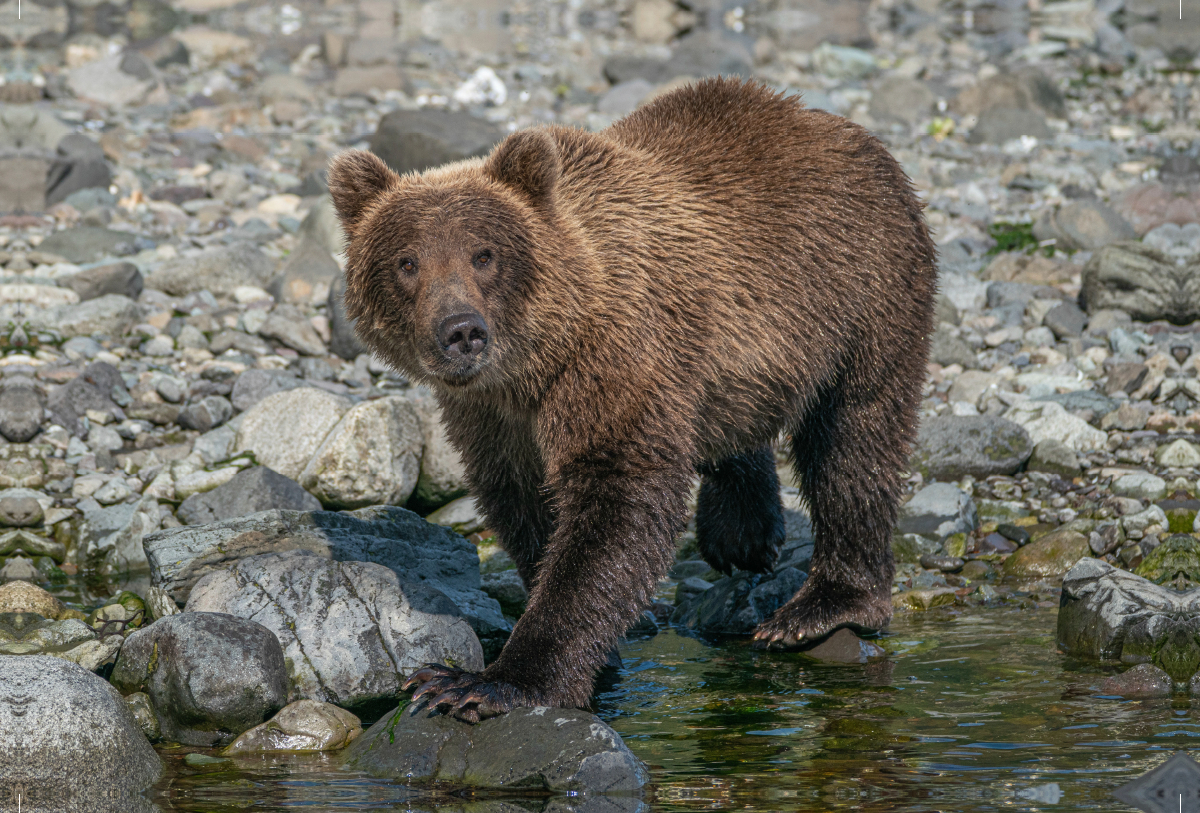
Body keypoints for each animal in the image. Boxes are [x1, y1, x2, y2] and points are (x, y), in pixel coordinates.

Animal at [328, 79, 936, 724]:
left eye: (483, 254)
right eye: (407, 261)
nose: (461, 330)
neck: (536, 362)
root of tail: (834, 125)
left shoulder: (614, 359)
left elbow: (617, 502)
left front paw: (487, 682)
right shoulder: (493, 417)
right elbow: (526, 506)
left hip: (862, 289)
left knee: (853, 438)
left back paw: (822, 605)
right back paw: (741, 531)